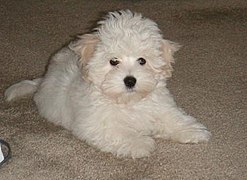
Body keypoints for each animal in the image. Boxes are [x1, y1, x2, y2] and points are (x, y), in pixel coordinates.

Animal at [4, 10, 210, 158]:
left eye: (142, 61)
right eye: (113, 61)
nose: (130, 80)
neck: (129, 102)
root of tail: (44, 77)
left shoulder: (160, 106)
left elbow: (173, 117)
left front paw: (192, 130)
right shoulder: (95, 123)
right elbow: (118, 132)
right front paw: (140, 143)